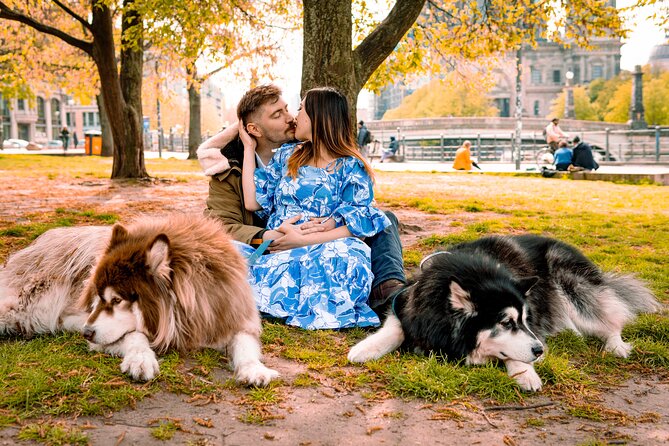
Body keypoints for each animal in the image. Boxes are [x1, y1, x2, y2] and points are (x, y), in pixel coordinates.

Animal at [0, 214, 276, 386]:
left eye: (116, 300)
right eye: (98, 297)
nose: (85, 333)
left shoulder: (231, 317)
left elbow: (245, 344)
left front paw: (254, 369)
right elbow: (134, 335)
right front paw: (141, 359)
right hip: (25, 306)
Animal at [350, 235, 656, 392]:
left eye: (523, 319)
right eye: (506, 322)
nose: (540, 350)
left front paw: (524, 372)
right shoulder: (406, 303)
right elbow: (396, 327)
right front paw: (367, 348)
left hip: (572, 287)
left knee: (610, 316)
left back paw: (616, 344)